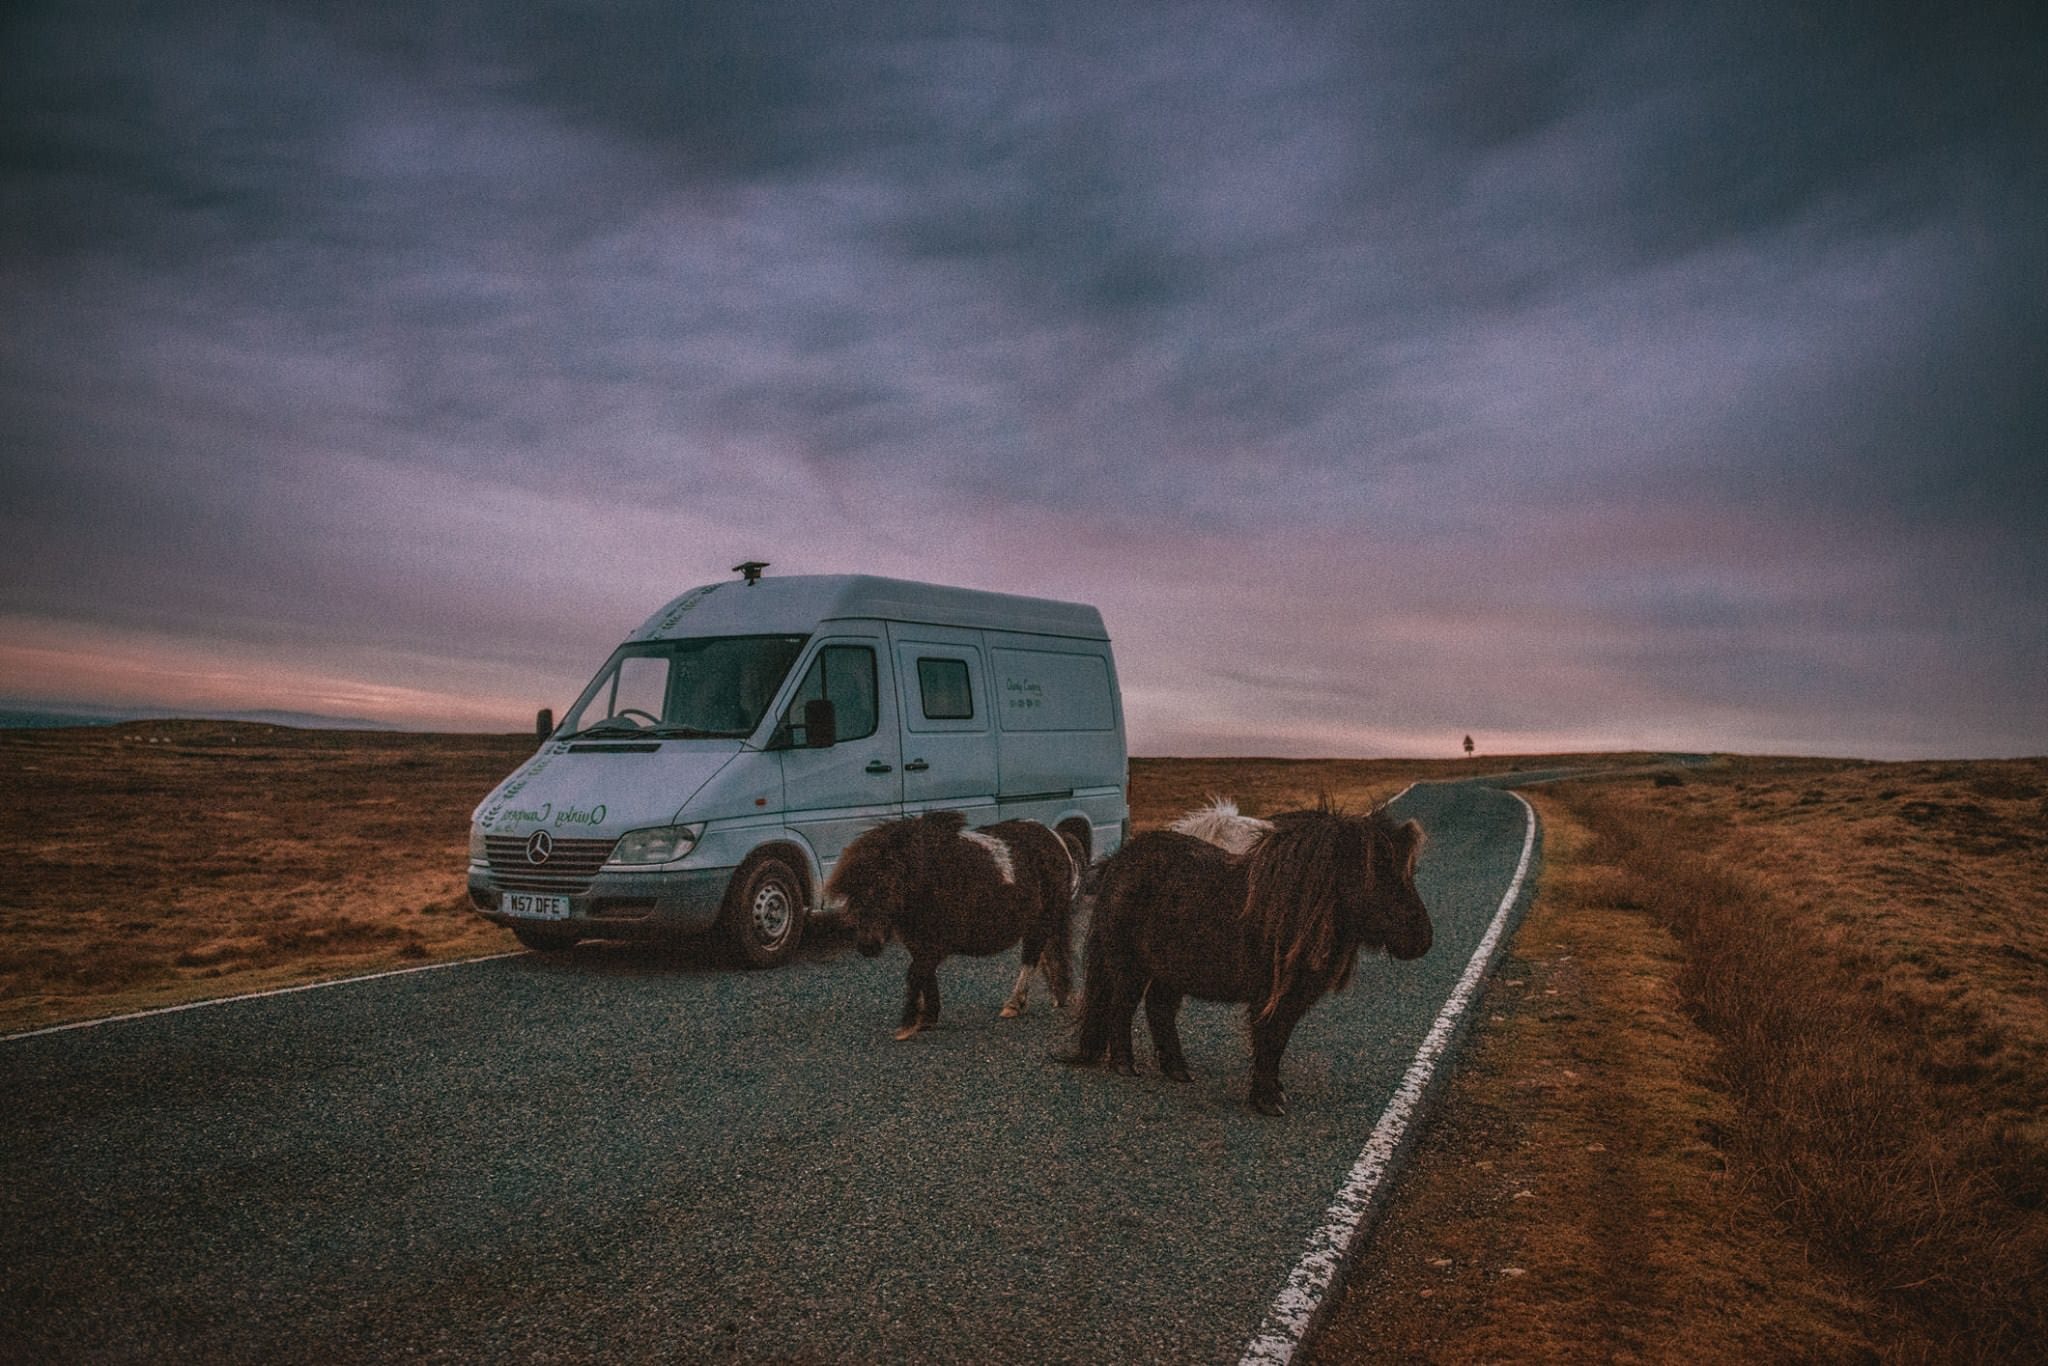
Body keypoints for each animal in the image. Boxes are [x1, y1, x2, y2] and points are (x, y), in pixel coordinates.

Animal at [823, 810, 1081, 1048]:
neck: (927, 879)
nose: (868, 945)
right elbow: (925, 975)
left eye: (886, 888)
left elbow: (915, 974)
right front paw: (927, 1018)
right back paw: (1058, 995)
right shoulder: (919, 945)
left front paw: (908, 1024)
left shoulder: (937, 945)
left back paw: (1015, 1004)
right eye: (852, 894)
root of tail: (1056, 837)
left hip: (1043, 922)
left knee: (1031, 958)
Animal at [1064, 806, 1433, 1114]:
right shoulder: (1270, 998)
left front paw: (1274, 1092)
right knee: (1122, 1008)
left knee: (1159, 1010)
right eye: (1380, 874)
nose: (1423, 940)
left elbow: (1278, 1044)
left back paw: (1178, 1070)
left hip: (1170, 971)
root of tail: (1118, 861)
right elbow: (1268, 1042)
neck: (1291, 909)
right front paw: (1267, 1100)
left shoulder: (1291, 1000)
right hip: (1130, 967)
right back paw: (1124, 1065)